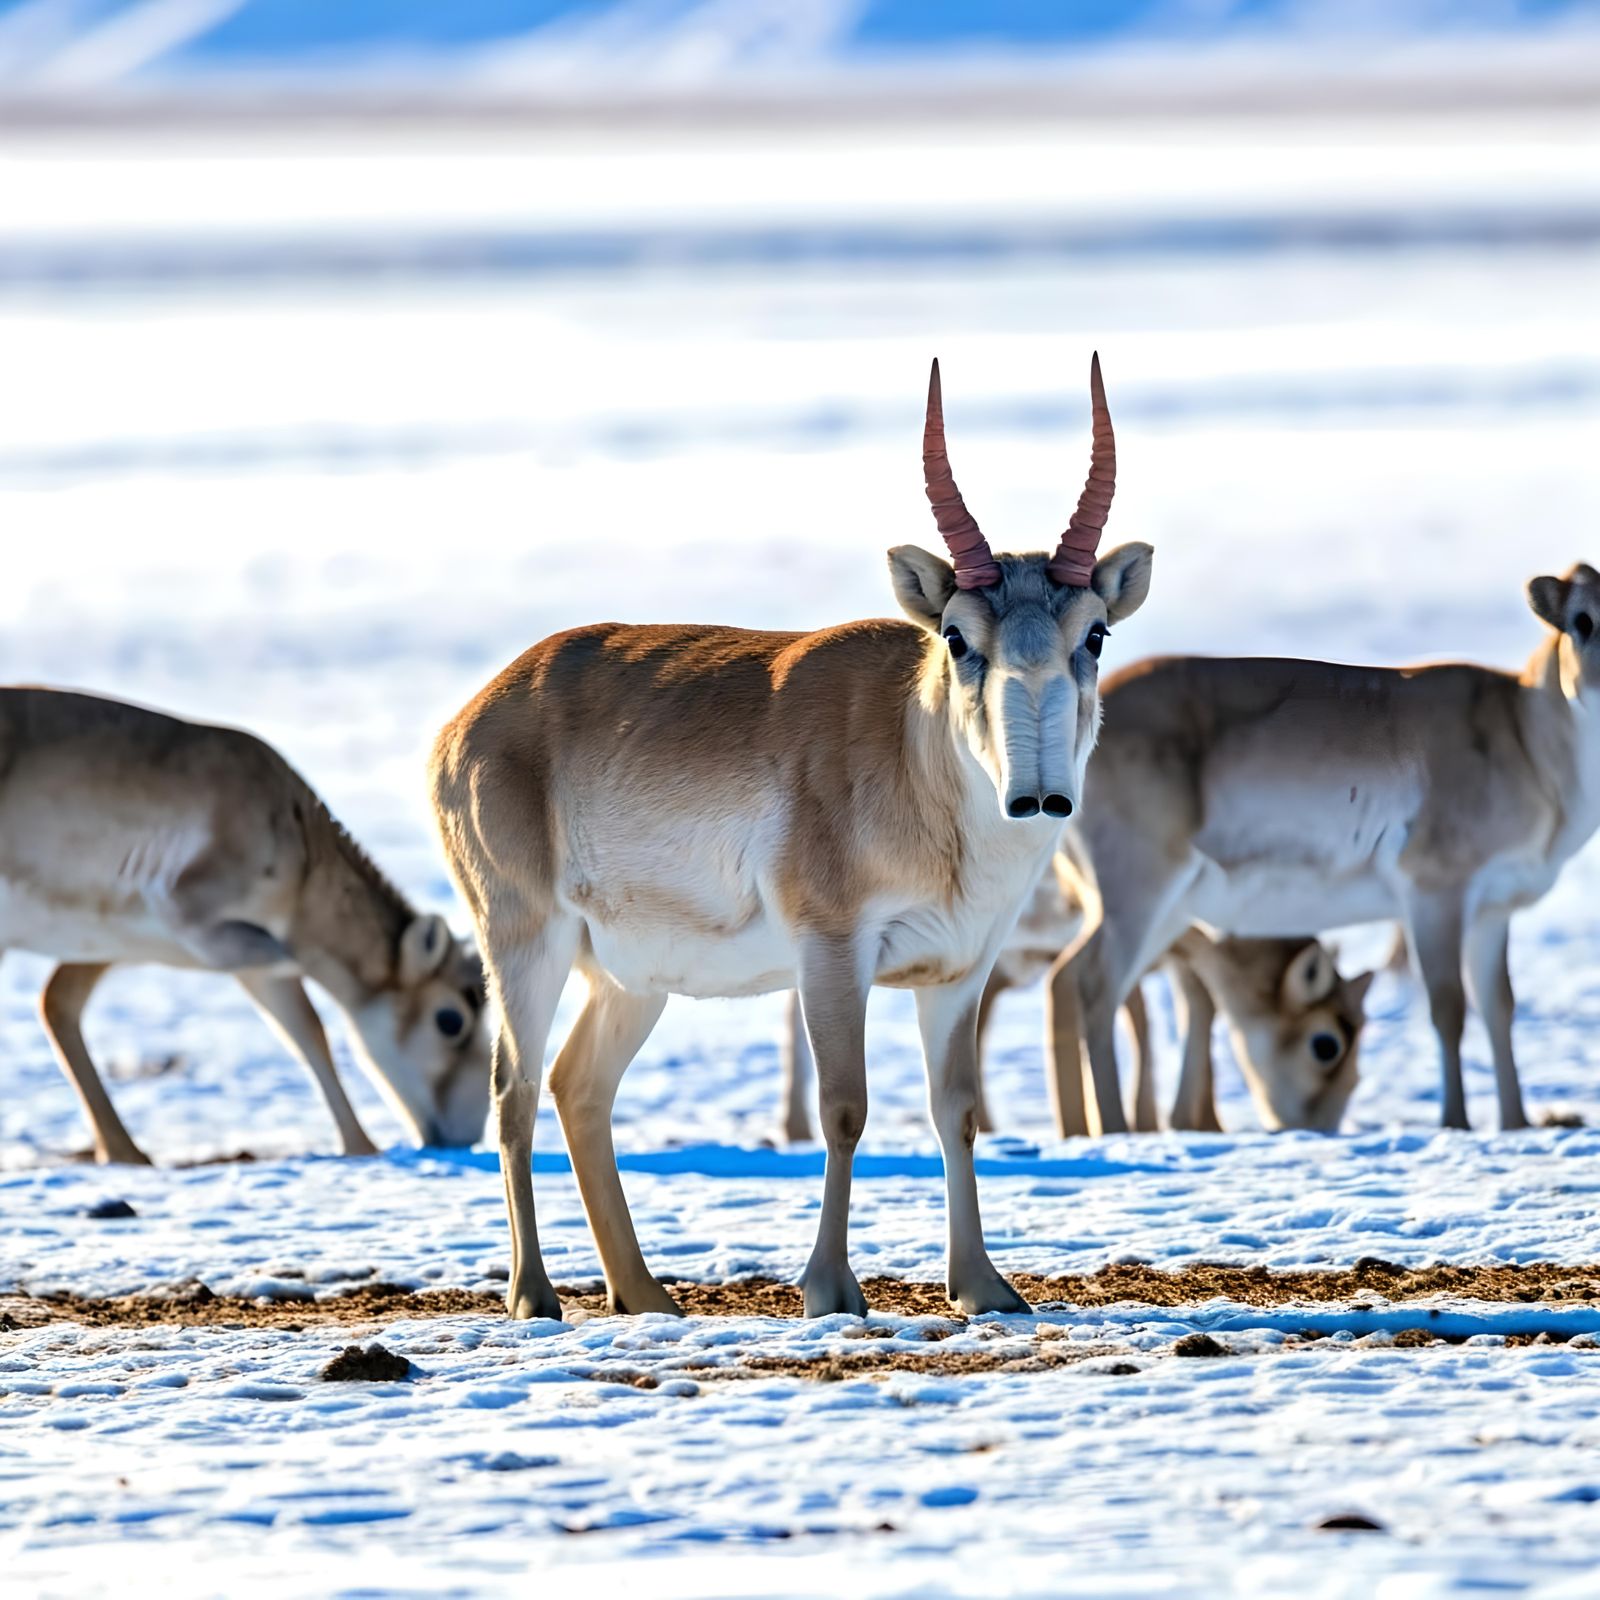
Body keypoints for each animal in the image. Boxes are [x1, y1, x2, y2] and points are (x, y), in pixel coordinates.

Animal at [0, 688, 492, 1164]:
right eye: (450, 1020)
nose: (465, 1137)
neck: (304, 857)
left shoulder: (239, 969)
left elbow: (308, 1033)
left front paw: (362, 1148)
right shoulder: (186, 906)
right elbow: (285, 962)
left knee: (57, 1004)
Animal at [432, 356, 1153, 1320]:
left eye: (1095, 633)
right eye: (958, 636)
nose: (1038, 798)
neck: (914, 761)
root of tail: (469, 721)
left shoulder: (958, 972)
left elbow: (956, 1110)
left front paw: (984, 1286)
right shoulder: (832, 953)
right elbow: (844, 1108)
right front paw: (831, 1288)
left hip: (632, 981)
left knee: (578, 1087)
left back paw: (646, 1295)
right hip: (525, 942)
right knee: (512, 1092)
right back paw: (534, 1296)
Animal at [780, 858, 1373, 1139]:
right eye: (1325, 1044)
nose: (1321, 1127)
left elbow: (1182, 1010)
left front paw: (1189, 1120)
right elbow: (1169, 1010)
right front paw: (1150, 1120)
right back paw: (793, 1126)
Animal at [1050, 563, 1600, 1136]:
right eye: (1582, 620)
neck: (1523, 739)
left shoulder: (1493, 910)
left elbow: (1499, 1008)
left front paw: (1516, 1123)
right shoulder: (1435, 893)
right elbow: (1448, 1007)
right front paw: (1457, 1123)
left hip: (1168, 911)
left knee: (1071, 978)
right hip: (1137, 894)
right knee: (1095, 984)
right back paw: (1114, 1128)